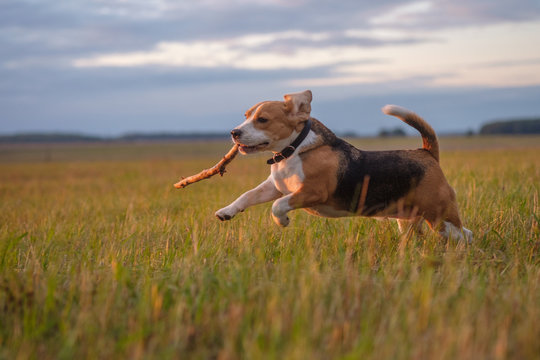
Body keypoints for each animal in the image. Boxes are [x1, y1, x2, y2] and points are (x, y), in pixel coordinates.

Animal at [215, 90, 472, 242]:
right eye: (246, 116)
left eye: (263, 120)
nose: (234, 133)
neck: (294, 149)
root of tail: (427, 153)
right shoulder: (275, 186)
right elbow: (247, 195)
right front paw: (227, 211)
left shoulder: (312, 192)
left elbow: (277, 206)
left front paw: (283, 221)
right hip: (409, 220)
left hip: (440, 216)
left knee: (464, 234)